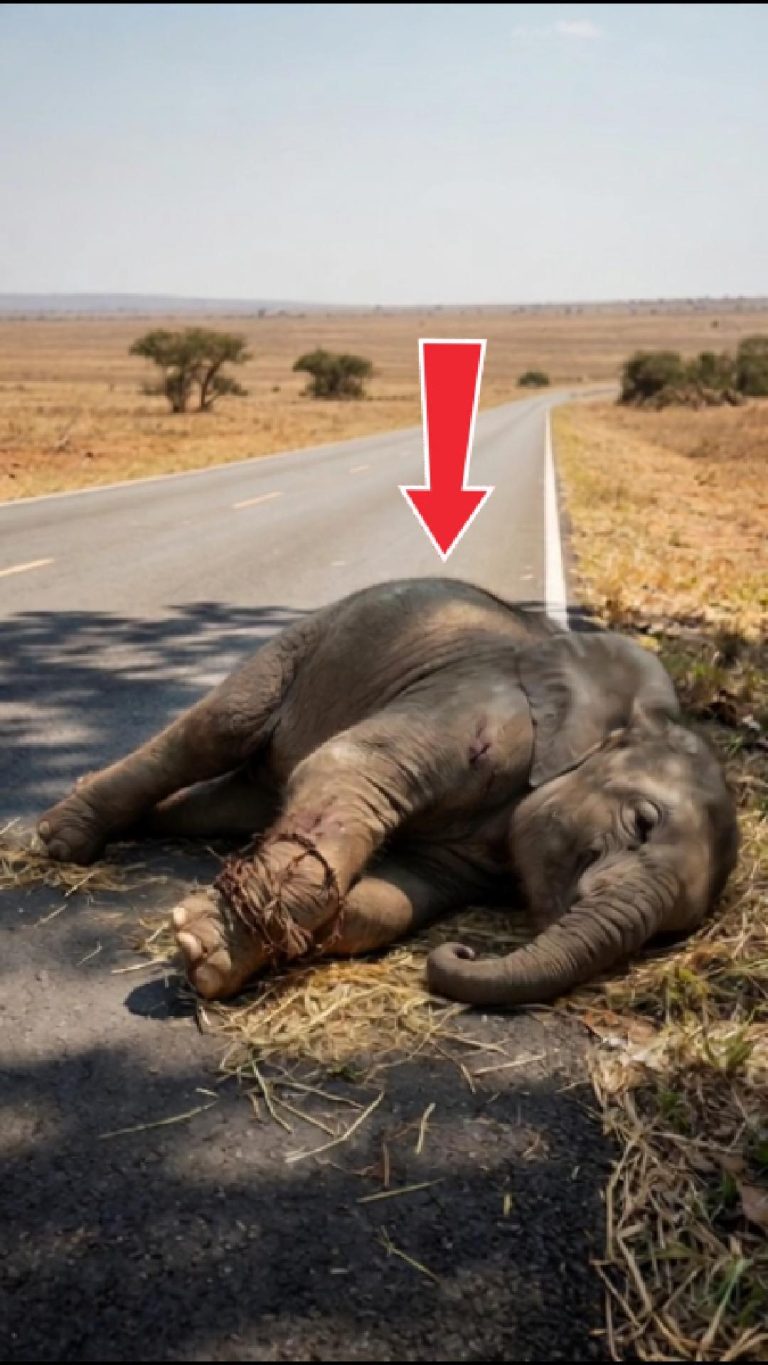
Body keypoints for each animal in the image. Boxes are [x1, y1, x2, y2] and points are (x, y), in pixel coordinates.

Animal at [37, 577, 739, 1007]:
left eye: (669, 938)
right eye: (643, 820)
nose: (463, 948)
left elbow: (396, 900)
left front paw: (224, 947)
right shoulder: (485, 707)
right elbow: (348, 770)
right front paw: (197, 945)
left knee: (222, 804)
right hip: (309, 638)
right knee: (217, 730)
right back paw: (61, 838)